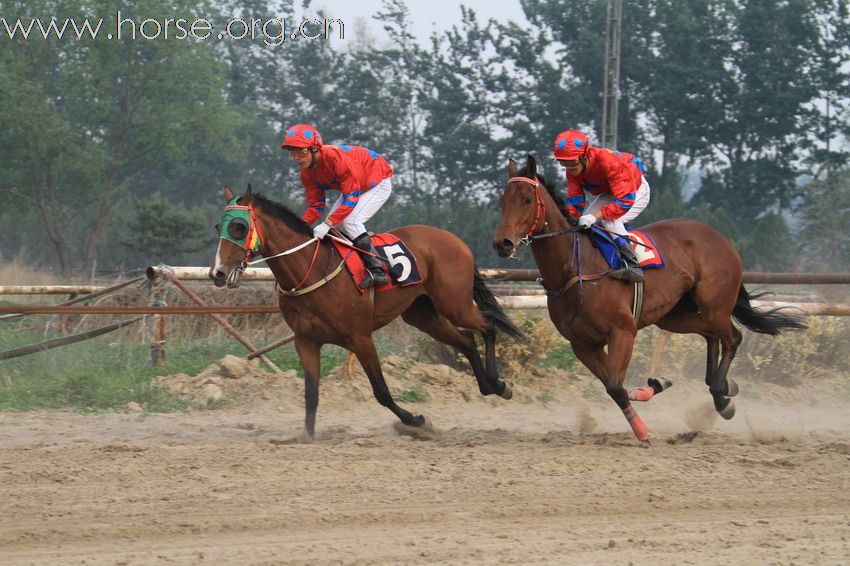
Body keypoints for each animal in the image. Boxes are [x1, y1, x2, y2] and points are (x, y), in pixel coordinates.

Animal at [210, 186, 524, 440]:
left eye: (238, 227)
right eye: (217, 227)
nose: (218, 273)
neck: (311, 269)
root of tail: (453, 238)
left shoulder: (360, 338)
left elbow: (381, 391)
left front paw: (417, 421)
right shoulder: (306, 341)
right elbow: (311, 395)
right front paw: (306, 436)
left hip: (455, 304)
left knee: (487, 327)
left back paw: (498, 383)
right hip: (422, 315)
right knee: (466, 340)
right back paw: (491, 386)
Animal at [490, 158, 800, 446]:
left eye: (527, 199)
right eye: (502, 201)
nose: (502, 243)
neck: (575, 269)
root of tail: (720, 238)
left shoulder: (622, 331)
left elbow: (616, 386)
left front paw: (644, 428)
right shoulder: (582, 344)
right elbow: (614, 387)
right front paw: (657, 385)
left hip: (714, 306)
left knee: (733, 337)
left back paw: (721, 397)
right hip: (675, 315)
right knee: (712, 335)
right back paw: (721, 387)